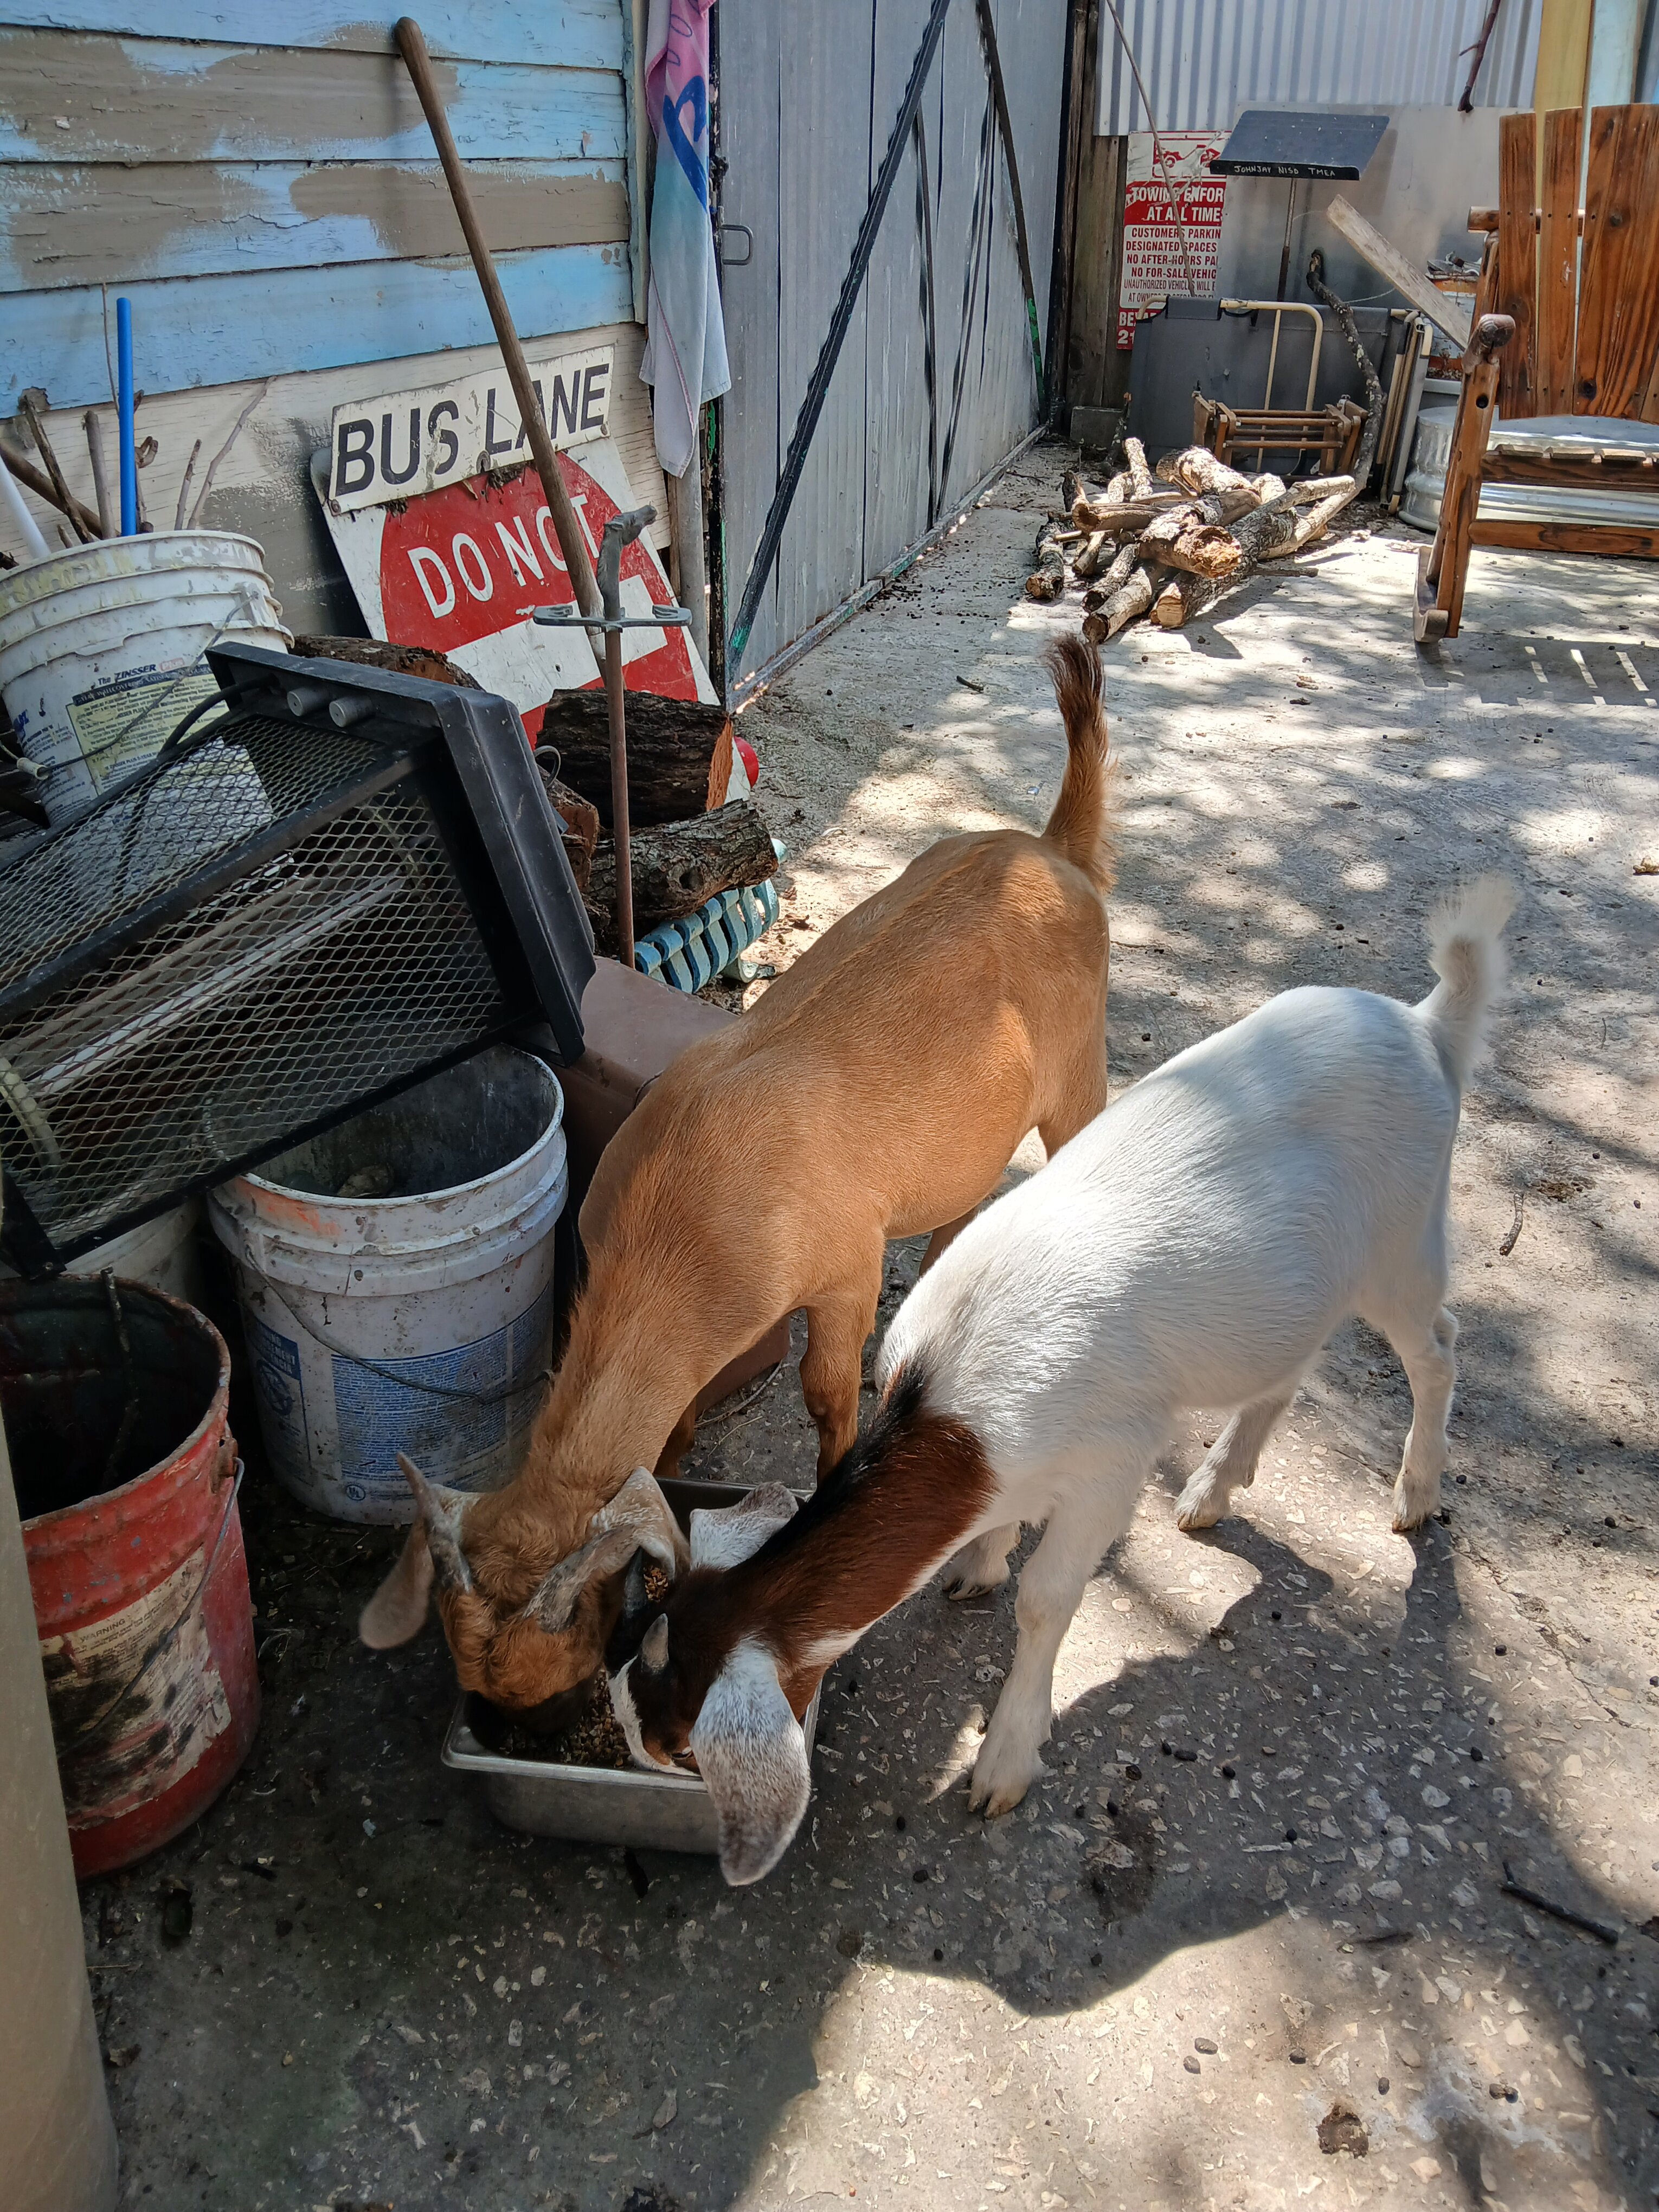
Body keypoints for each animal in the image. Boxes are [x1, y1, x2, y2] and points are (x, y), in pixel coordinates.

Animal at [358, 636, 1120, 1719]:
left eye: (571, 1634)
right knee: (959, 1208)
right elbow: (680, 1418)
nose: (526, 1718)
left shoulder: (841, 1268)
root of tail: (1059, 850)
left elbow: (826, 1396)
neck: (677, 1212)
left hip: (1079, 1070)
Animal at [608, 878, 1517, 1883]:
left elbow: (1047, 1600)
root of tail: (1428, 1027)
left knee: (1439, 1346)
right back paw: (1211, 1491)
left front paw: (1004, 1762)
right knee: (1292, 1362)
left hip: (1405, 1242)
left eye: (685, 1748)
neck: (954, 1420)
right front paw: (979, 1565)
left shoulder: (1112, 1463)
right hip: (1309, 1283)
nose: (638, 1750)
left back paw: (1414, 1495)